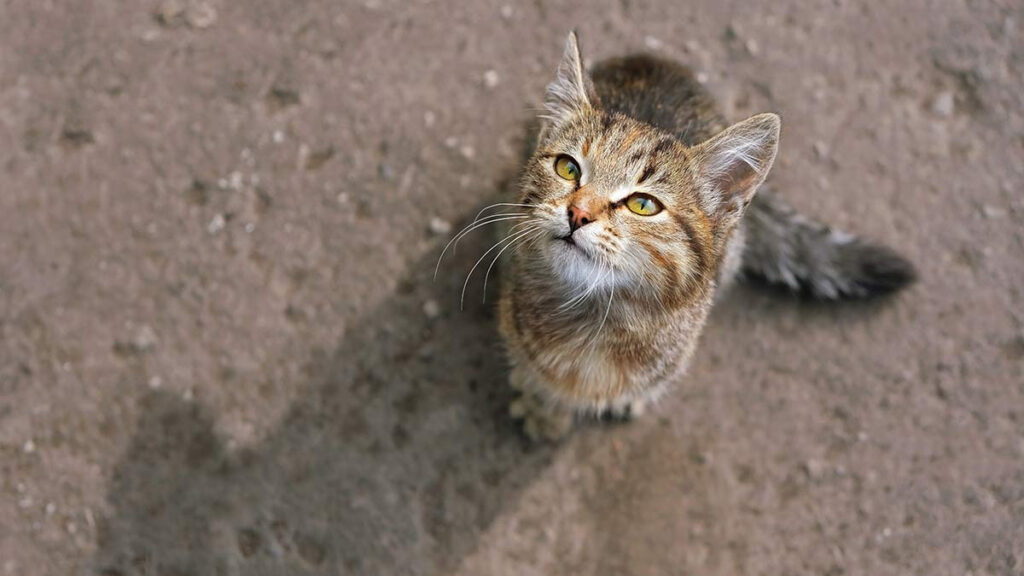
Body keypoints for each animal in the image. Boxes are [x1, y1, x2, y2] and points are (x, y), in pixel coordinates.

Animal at [471, 31, 913, 436]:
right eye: (567, 168)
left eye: (643, 204)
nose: (578, 213)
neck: (594, 317)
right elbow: (535, 376)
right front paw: (542, 409)